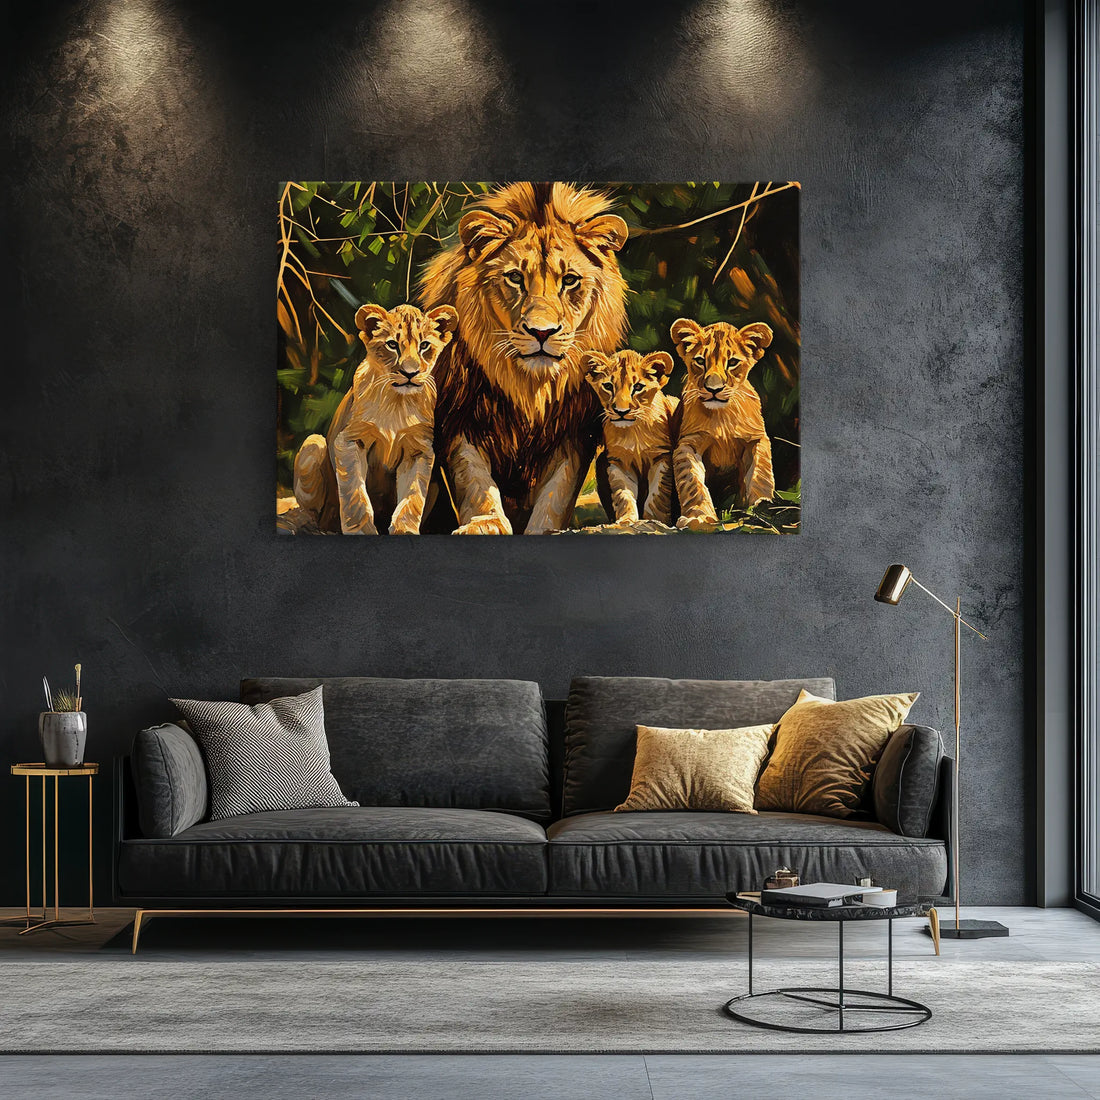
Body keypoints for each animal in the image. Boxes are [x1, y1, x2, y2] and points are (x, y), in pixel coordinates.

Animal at [293, 302, 458, 535]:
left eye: (425, 345)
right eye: (392, 345)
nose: (410, 373)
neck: (397, 402)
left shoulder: (419, 449)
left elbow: (412, 498)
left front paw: (405, 530)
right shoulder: (350, 440)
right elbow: (355, 494)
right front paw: (360, 531)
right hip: (313, 443)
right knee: (313, 511)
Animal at [419, 182, 629, 534]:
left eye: (569, 280)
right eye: (515, 278)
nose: (541, 332)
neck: (530, 386)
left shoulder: (573, 432)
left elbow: (557, 493)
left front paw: (544, 529)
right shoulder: (460, 418)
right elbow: (474, 482)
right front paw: (485, 523)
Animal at [583, 349, 679, 526]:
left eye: (638, 387)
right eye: (608, 386)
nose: (621, 412)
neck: (633, 431)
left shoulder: (661, 457)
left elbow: (656, 495)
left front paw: (654, 520)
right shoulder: (618, 462)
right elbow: (624, 494)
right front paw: (626, 520)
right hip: (601, 460)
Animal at [669, 318, 775, 529]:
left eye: (732, 362)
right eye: (700, 361)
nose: (714, 389)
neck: (722, 416)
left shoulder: (756, 439)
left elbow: (760, 474)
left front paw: (762, 506)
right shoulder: (688, 443)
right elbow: (692, 481)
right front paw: (699, 516)